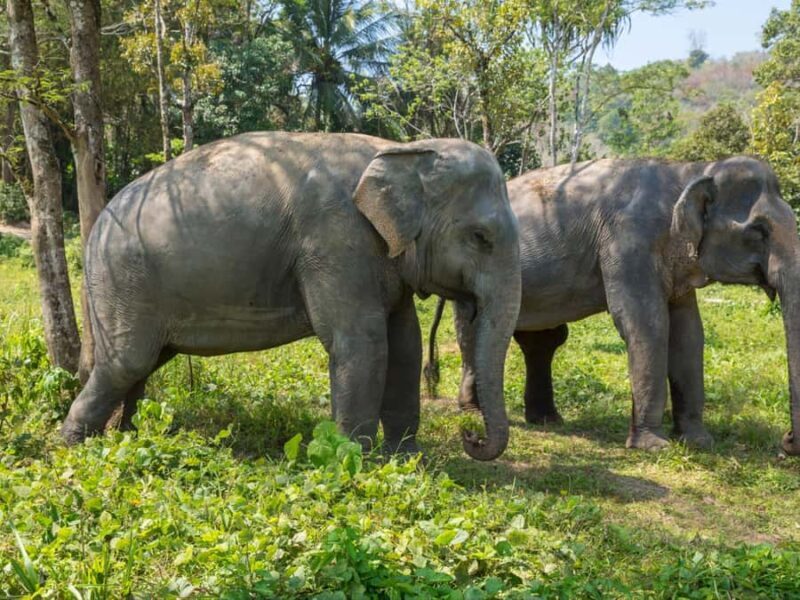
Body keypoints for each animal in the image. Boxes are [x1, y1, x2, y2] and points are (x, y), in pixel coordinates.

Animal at [61, 132, 521, 461]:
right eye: (480, 237)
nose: (470, 436)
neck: (402, 149)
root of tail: (95, 228)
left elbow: (405, 344)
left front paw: (406, 461)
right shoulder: (337, 241)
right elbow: (361, 343)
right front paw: (355, 462)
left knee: (142, 365)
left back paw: (128, 438)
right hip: (123, 281)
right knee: (126, 362)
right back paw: (74, 448)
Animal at [427, 157, 800, 454]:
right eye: (759, 230)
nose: (786, 442)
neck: (688, 170)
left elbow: (689, 334)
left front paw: (697, 442)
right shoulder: (627, 243)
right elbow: (647, 325)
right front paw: (654, 447)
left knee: (543, 340)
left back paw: (547, 420)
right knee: (476, 330)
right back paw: (474, 413)